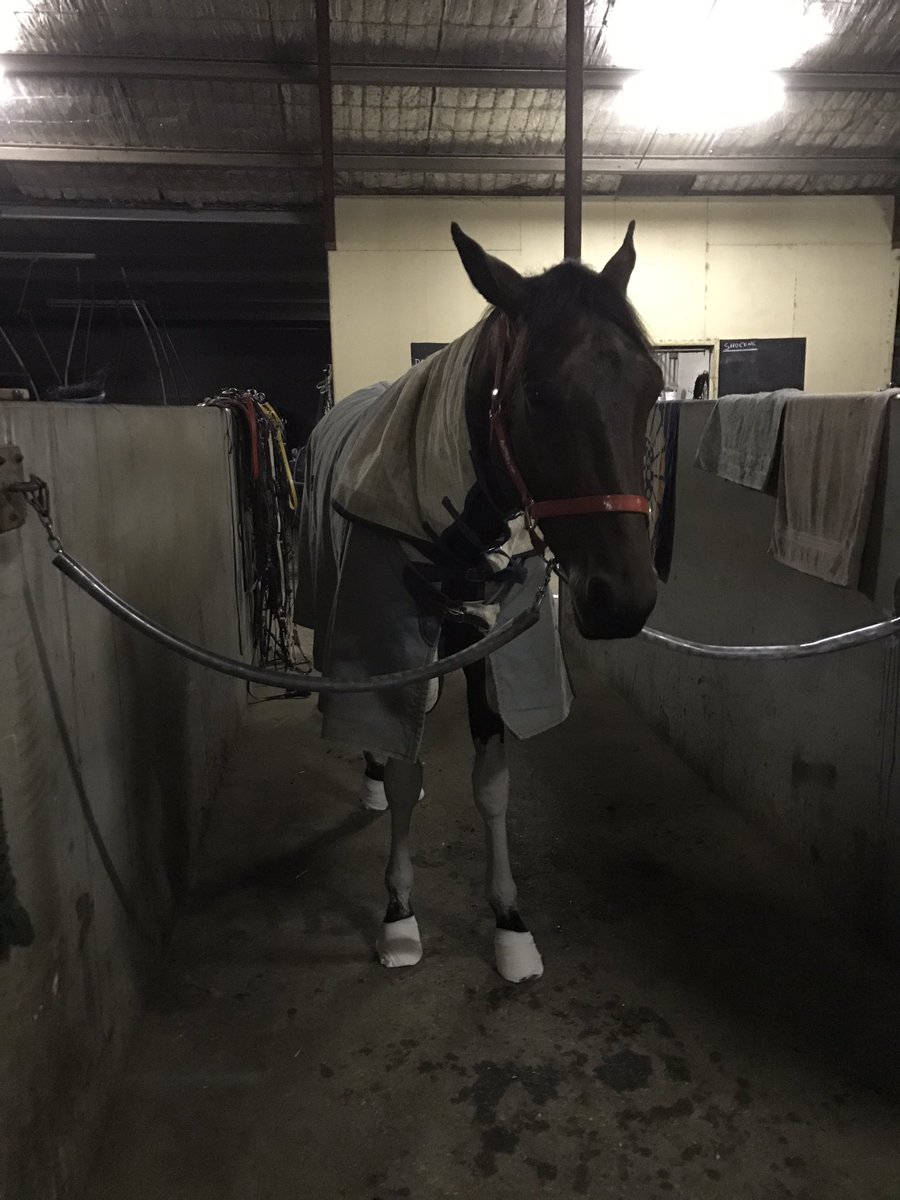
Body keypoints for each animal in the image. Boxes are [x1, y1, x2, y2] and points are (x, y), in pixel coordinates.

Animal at [296, 221, 663, 983]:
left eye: (652, 388)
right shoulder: (399, 646)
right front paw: (399, 915)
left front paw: (509, 923)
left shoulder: (493, 651)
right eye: (535, 393)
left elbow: (491, 784)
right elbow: (404, 768)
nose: (625, 600)